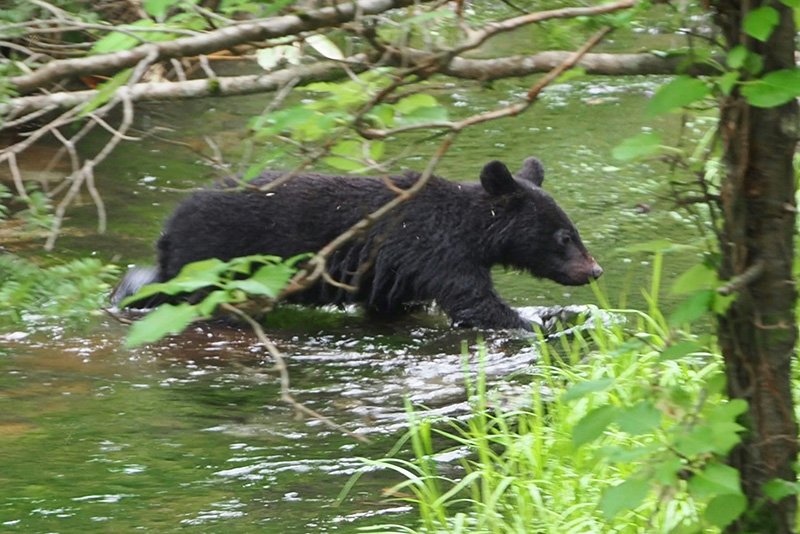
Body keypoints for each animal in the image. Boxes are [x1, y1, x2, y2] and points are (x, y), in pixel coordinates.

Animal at [112, 158, 600, 330]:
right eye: (564, 236)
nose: (594, 270)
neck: (469, 227)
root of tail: (167, 230)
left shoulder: (398, 270)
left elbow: (391, 306)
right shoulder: (435, 250)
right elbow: (474, 302)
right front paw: (540, 322)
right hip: (211, 263)